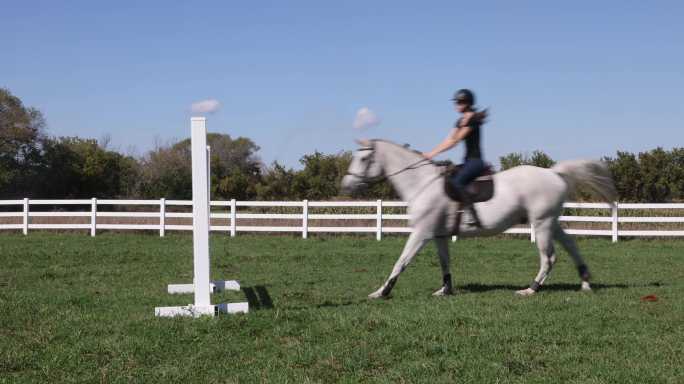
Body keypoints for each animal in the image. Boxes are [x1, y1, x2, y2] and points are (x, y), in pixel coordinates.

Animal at [340, 140, 616, 298]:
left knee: (549, 258)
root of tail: (554, 173)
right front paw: (445, 290)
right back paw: (585, 282)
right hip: (551, 222)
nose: (347, 185)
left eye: (364, 158)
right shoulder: (439, 235)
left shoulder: (421, 233)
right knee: (571, 245)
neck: (422, 184)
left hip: (542, 224)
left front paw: (381, 292)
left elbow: (401, 262)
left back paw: (531, 289)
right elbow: (445, 263)